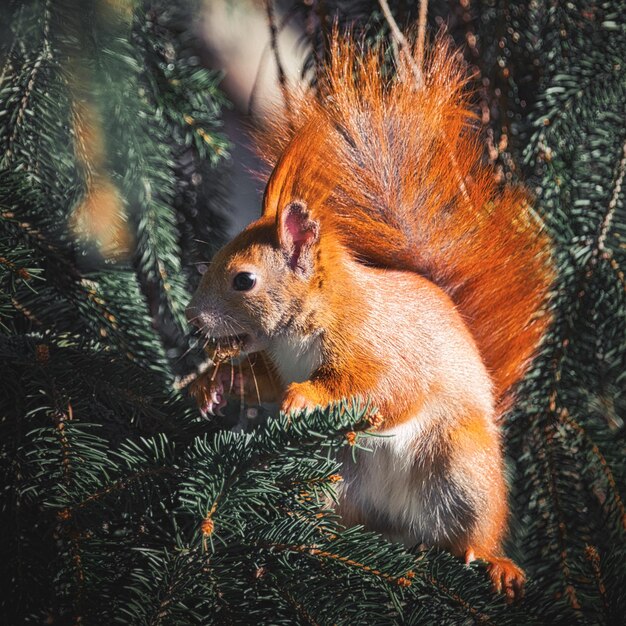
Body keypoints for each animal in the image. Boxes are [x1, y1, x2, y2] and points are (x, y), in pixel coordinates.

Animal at [184, 33, 552, 600]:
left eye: (243, 280)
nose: (193, 318)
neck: (311, 319)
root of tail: (397, 523)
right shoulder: (279, 361)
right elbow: (262, 382)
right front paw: (213, 386)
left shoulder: (377, 345)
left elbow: (379, 387)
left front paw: (306, 396)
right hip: (340, 478)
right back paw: (318, 530)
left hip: (459, 466)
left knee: (472, 531)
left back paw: (494, 562)